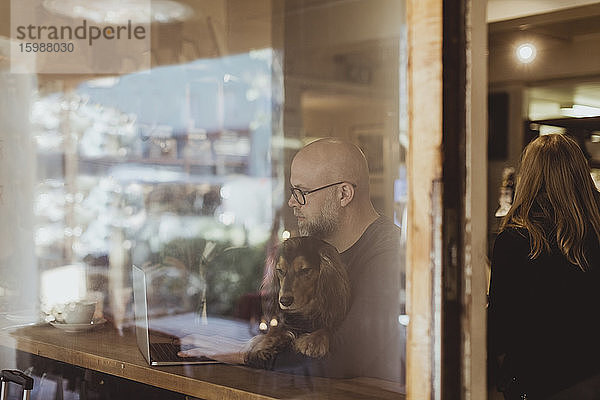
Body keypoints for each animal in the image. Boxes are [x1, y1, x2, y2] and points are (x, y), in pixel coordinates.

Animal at [245, 234, 352, 368]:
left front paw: (314, 340)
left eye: (305, 270)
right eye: (280, 270)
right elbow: (274, 331)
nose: (285, 301)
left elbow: (328, 327)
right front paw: (264, 344)